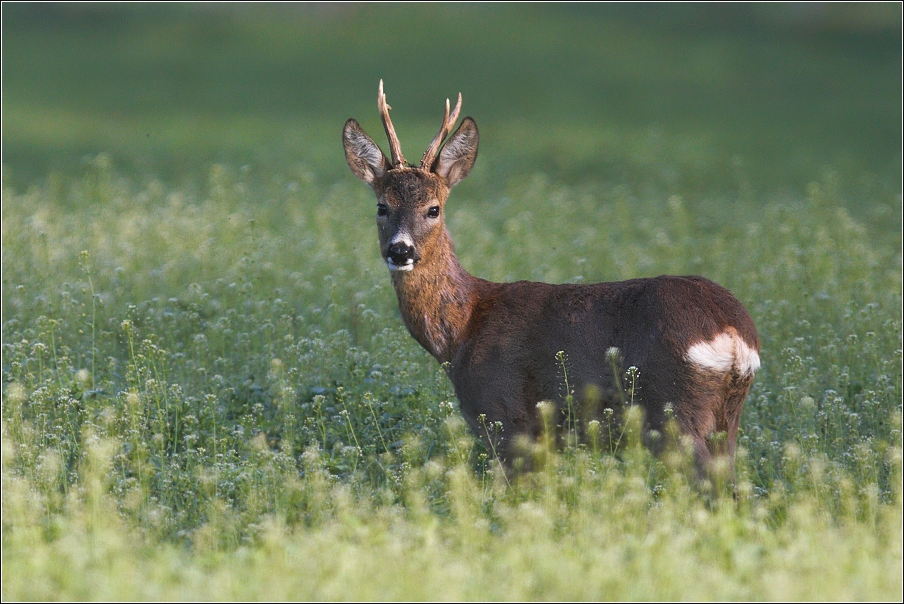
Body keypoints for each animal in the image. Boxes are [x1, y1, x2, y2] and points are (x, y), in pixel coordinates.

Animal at [342, 79, 760, 476]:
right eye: (382, 206)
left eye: (433, 209)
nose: (401, 250)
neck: (463, 330)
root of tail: (735, 333)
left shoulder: (505, 414)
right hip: (726, 418)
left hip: (672, 406)